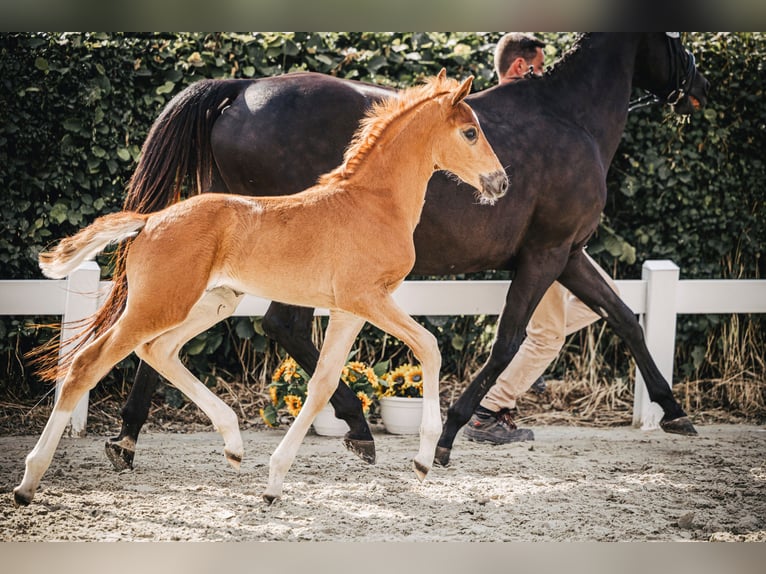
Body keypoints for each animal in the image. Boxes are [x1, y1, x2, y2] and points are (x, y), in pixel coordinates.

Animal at [15, 72, 508, 508]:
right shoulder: (368, 299)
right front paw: (424, 459)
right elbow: (429, 346)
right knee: (88, 363)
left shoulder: (348, 310)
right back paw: (28, 482)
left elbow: (323, 383)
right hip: (160, 304)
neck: (372, 203)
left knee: (159, 350)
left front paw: (274, 483)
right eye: (469, 132)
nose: (501, 182)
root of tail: (150, 220)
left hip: (211, 302)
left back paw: (233, 443)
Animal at [105, 33, 712, 470]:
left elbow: (625, 318)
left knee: (162, 333)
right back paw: (357, 427)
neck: (569, 117)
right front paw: (447, 436)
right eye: (676, 37)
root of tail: (242, 87)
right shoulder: (548, 253)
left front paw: (676, 412)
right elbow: (508, 340)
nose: (700, 88)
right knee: (280, 326)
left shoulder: (568, 254)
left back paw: (127, 439)